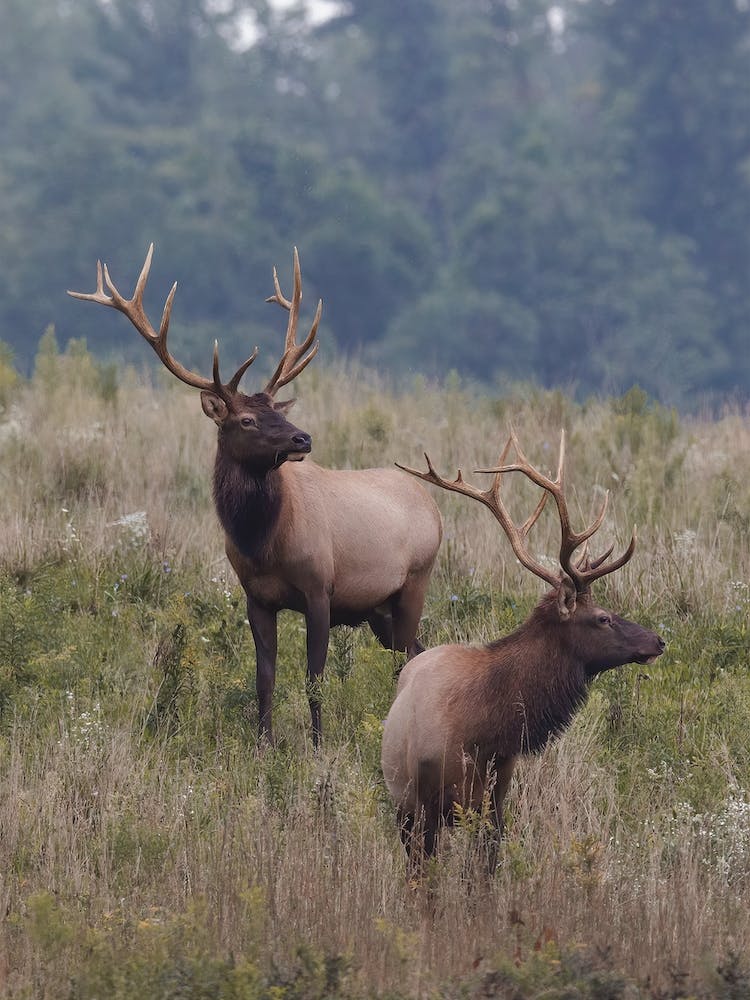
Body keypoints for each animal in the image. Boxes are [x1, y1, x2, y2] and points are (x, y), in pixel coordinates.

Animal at [68, 245, 442, 746]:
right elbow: (264, 677)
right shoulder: (256, 597)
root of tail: (434, 507)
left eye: (276, 412)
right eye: (246, 420)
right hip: (377, 607)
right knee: (415, 651)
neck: (264, 542)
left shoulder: (320, 587)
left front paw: (317, 745)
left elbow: (314, 677)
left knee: (409, 654)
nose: (303, 438)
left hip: (415, 581)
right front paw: (264, 746)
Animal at [381, 429, 665, 865]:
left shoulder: (495, 798)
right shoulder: (424, 805)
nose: (658, 640)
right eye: (602, 617)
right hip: (404, 803)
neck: (485, 733)